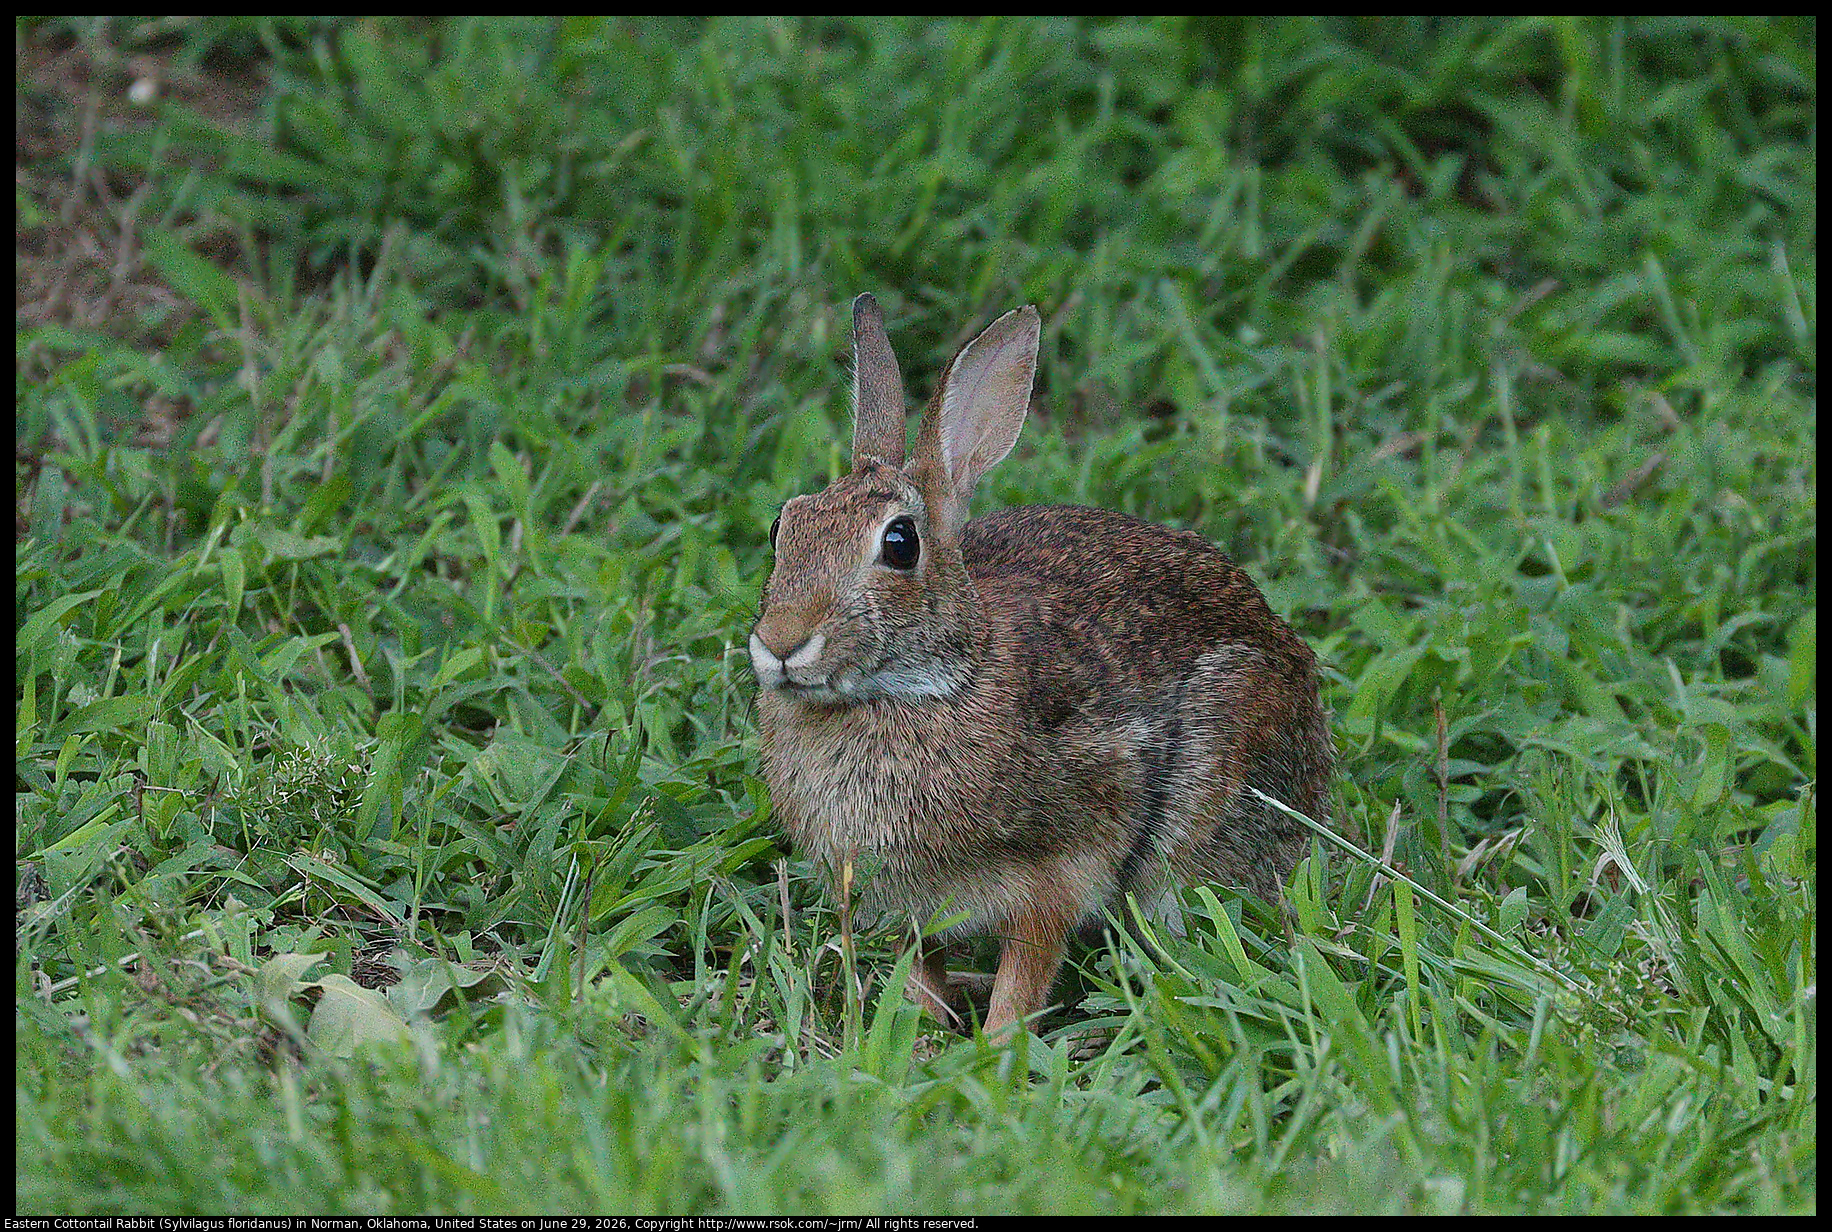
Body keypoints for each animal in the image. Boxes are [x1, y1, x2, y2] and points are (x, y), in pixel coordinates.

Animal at [749, 293, 1335, 1038]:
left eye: (900, 544)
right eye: (783, 527)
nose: (781, 644)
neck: (931, 682)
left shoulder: (1058, 873)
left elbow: (1027, 970)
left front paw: (996, 1046)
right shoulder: (912, 906)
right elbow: (922, 967)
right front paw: (923, 1034)